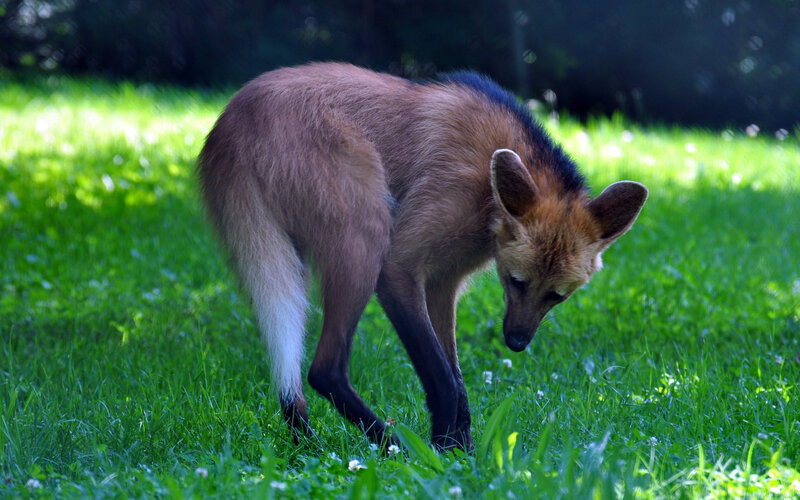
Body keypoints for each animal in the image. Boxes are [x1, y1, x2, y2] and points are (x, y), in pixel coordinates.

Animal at [197, 63, 647, 451]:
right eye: (516, 282)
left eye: (557, 296)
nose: (516, 343)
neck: (487, 191)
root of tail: (230, 120)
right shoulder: (401, 267)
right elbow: (441, 375)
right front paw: (443, 454)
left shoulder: (443, 282)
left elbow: (454, 376)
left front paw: (459, 451)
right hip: (365, 227)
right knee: (324, 368)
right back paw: (391, 448)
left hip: (288, 250)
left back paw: (306, 443)